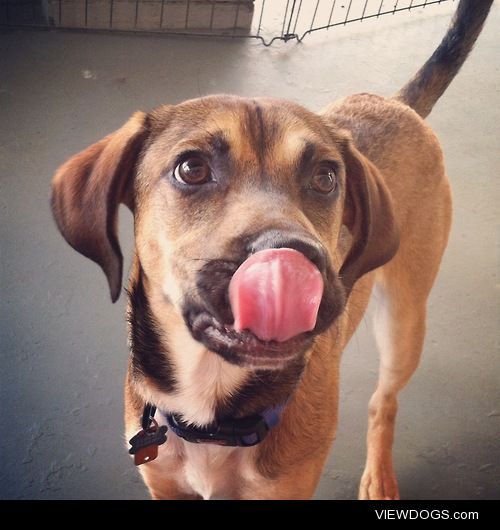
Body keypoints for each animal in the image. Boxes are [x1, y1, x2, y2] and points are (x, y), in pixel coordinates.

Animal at [49, 0, 492, 498]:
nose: (293, 261)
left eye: (326, 177)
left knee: (385, 400)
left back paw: (379, 475)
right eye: (191, 168)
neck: (212, 417)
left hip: (404, 320)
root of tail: (396, 103)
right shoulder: (165, 486)